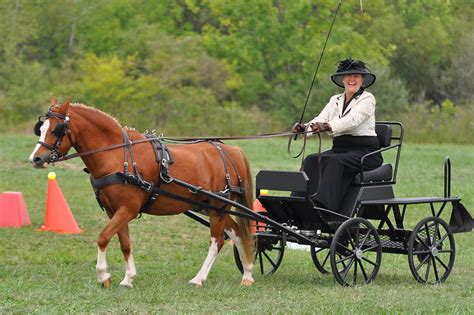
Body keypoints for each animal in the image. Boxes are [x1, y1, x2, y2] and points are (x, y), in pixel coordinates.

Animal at [29, 98, 256, 288]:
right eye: (41, 129)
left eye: (57, 129)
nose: (36, 159)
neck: (117, 156)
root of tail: (231, 151)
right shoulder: (114, 211)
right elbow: (125, 243)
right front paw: (128, 279)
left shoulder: (128, 209)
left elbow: (103, 237)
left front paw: (103, 275)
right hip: (209, 206)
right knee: (237, 232)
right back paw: (247, 273)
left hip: (218, 207)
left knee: (217, 240)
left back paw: (199, 278)